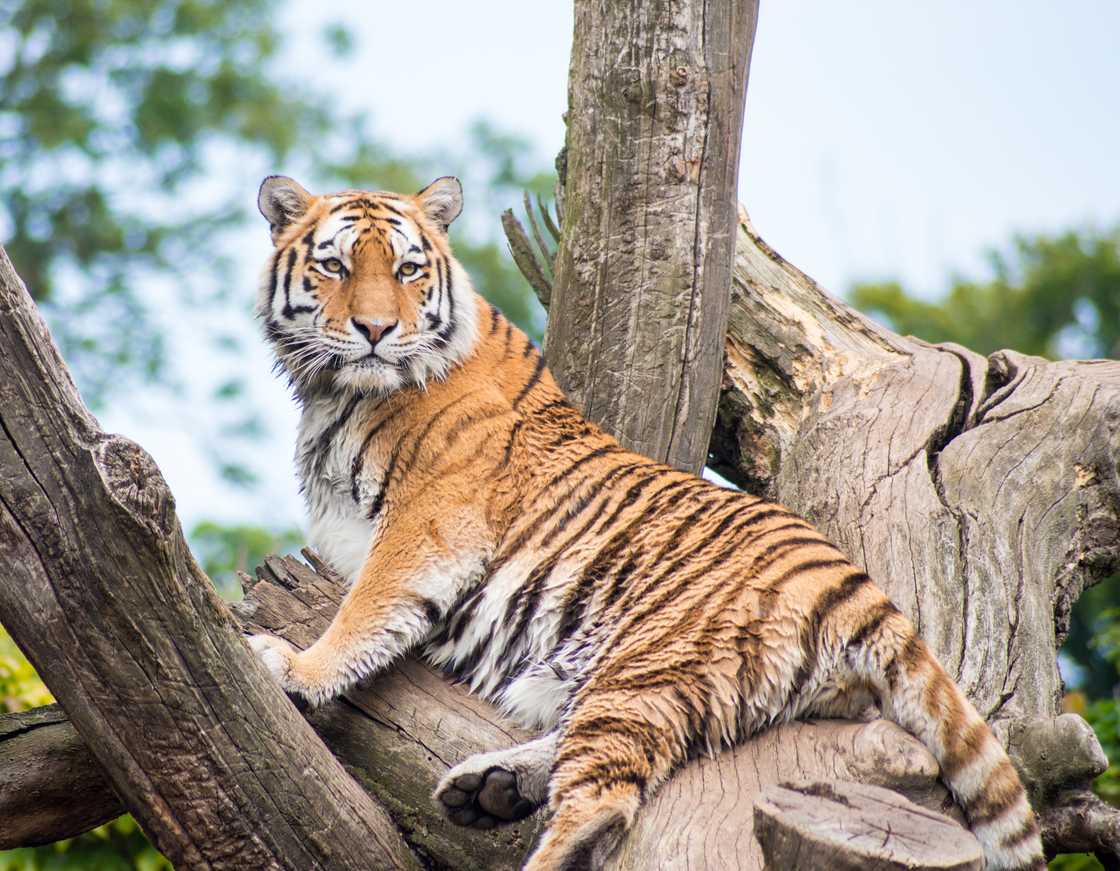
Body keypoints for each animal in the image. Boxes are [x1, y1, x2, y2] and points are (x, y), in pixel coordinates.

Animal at [246, 174, 1045, 871]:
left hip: (651, 661)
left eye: (409, 269)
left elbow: (366, 608)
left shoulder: (432, 521)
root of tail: (863, 587)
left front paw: (296, 667)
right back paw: (491, 786)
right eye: (334, 266)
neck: (338, 392)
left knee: (603, 797)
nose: (376, 330)